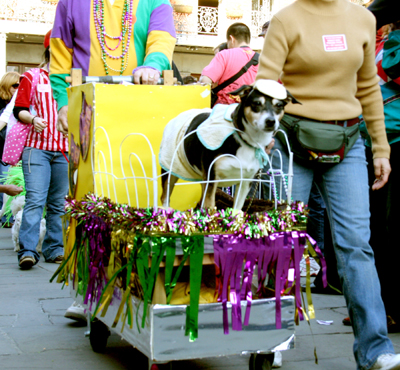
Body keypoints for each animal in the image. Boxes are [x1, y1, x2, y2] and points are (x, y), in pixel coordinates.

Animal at [159, 79, 300, 210]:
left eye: (279, 105)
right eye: (257, 103)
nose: (270, 121)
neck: (246, 140)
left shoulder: (245, 181)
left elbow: (237, 208)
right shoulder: (212, 177)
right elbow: (210, 207)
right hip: (170, 168)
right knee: (165, 195)